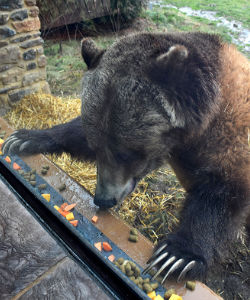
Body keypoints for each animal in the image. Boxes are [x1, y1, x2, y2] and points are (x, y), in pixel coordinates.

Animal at [2, 32, 250, 284]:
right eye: (97, 147)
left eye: (128, 153)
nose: (103, 199)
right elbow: (75, 133)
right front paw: (24, 138)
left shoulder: (227, 138)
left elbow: (220, 193)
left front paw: (177, 255)